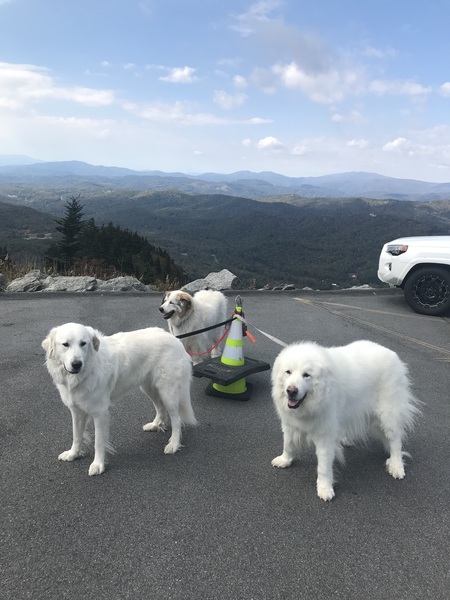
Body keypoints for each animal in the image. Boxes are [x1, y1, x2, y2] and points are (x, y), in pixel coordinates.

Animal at [41, 322, 195, 476]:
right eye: (65, 344)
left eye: (83, 343)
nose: (77, 364)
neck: (86, 371)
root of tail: (174, 339)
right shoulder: (76, 411)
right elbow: (77, 435)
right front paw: (73, 454)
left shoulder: (100, 413)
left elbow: (98, 442)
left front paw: (98, 465)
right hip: (149, 388)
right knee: (160, 408)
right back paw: (156, 424)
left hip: (167, 392)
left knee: (176, 419)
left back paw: (173, 444)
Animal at [268, 340, 420, 500]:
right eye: (288, 372)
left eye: (306, 375)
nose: (291, 391)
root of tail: (393, 354)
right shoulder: (289, 425)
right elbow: (288, 445)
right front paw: (285, 460)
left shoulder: (325, 436)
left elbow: (323, 466)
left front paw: (324, 488)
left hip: (388, 415)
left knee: (395, 441)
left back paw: (397, 466)